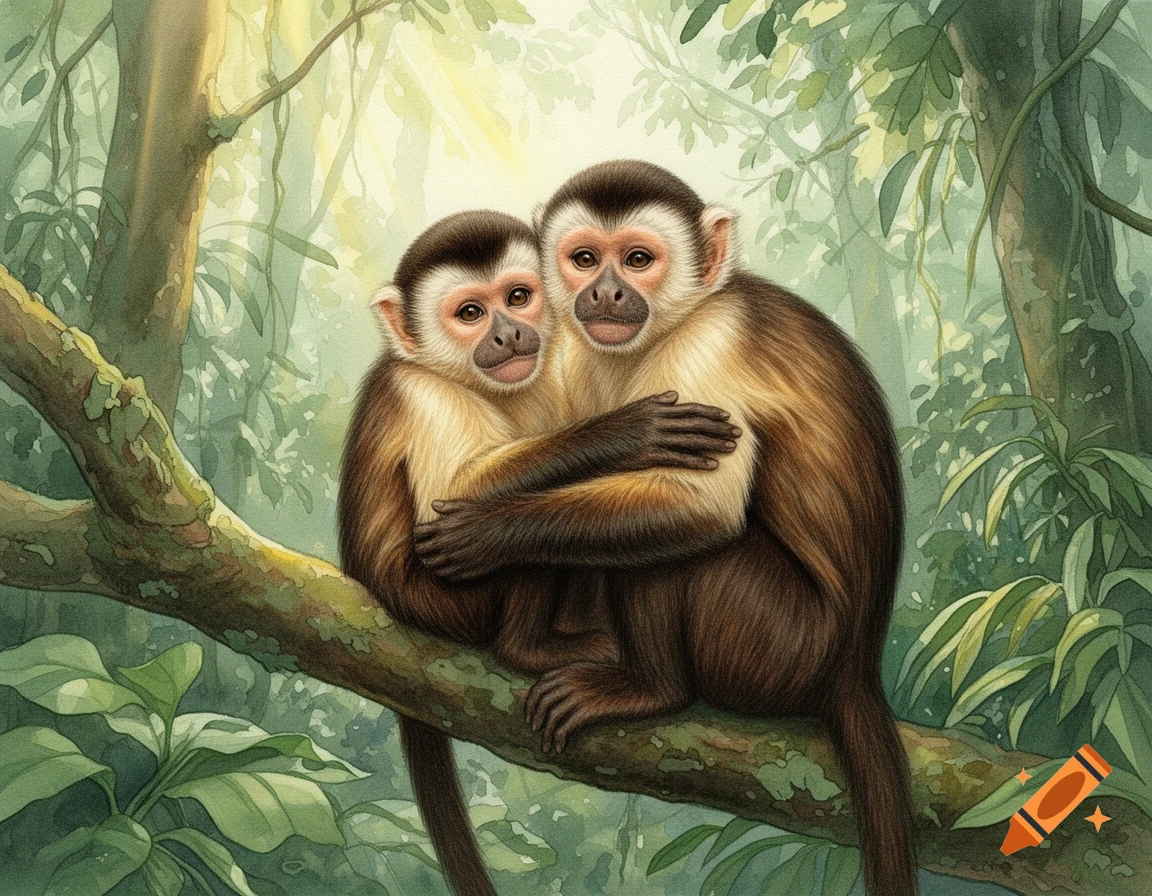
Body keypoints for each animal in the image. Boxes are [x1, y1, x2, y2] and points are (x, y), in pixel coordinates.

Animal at [337, 208, 743, 896]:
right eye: (471, 313)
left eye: (519, 298)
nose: (508, 335)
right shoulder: (420, 391)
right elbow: (453, 503)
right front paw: (626, 433)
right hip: (443, 604)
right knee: (502, 539)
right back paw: (526, 648)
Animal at [413, 163, 918, 896]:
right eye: (585, 259)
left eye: (638, 260)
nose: (605, 291)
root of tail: (855, 664)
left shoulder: (713, 346)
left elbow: (698, 513)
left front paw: (489, 531)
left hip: (779, 645)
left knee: (685, 552)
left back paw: (651, 691)